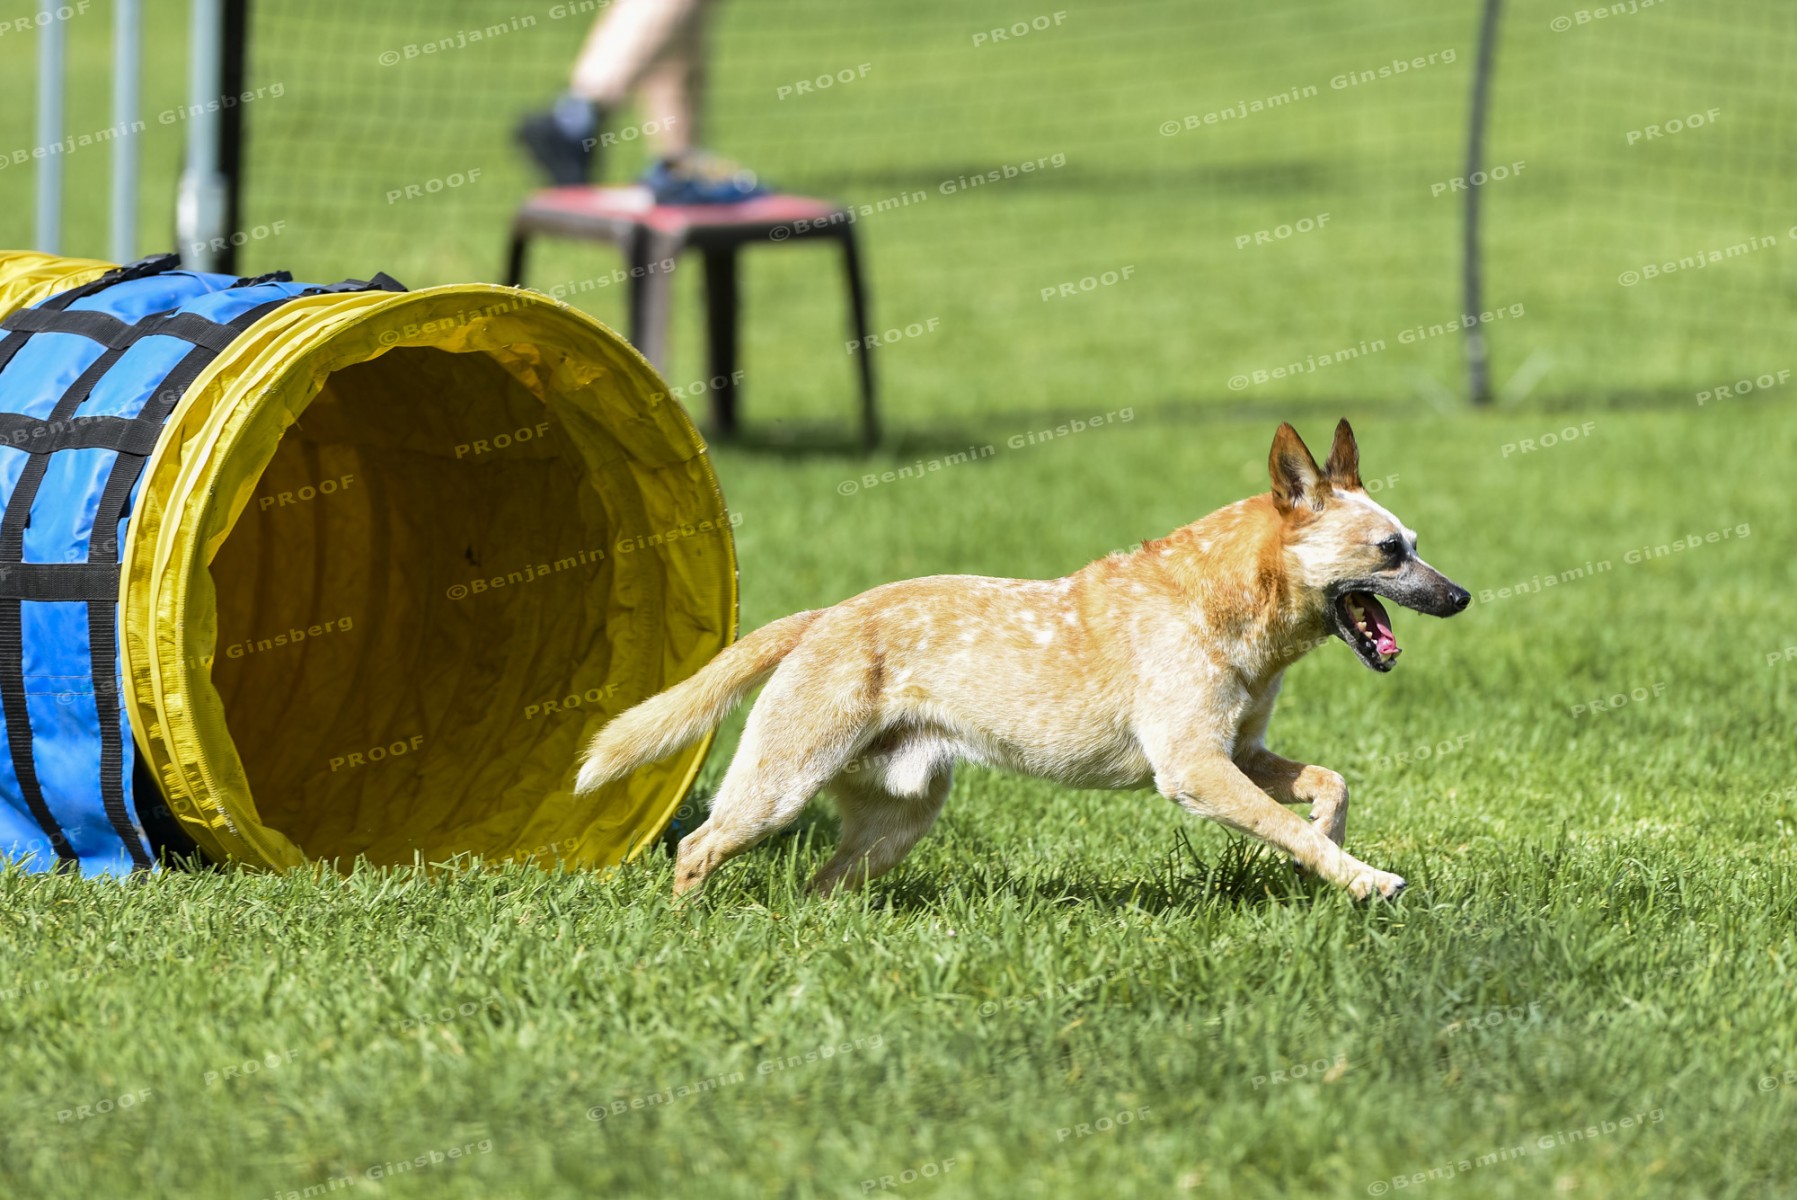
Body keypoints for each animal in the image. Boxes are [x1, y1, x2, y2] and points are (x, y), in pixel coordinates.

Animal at [575, 420, 1469, 901]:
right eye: (1389, 552)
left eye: (1414, 543)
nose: (1460, 596)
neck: (1224, 604)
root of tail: (822, 617)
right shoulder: (1193, 768)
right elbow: (1285, 826)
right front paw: (1363, 879)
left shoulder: (1240, 751)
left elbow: (1327, 785)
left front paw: (1331, 836)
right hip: (778, 785)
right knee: (696, 848)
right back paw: (682, 929)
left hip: (898, 819)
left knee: (820, 885)